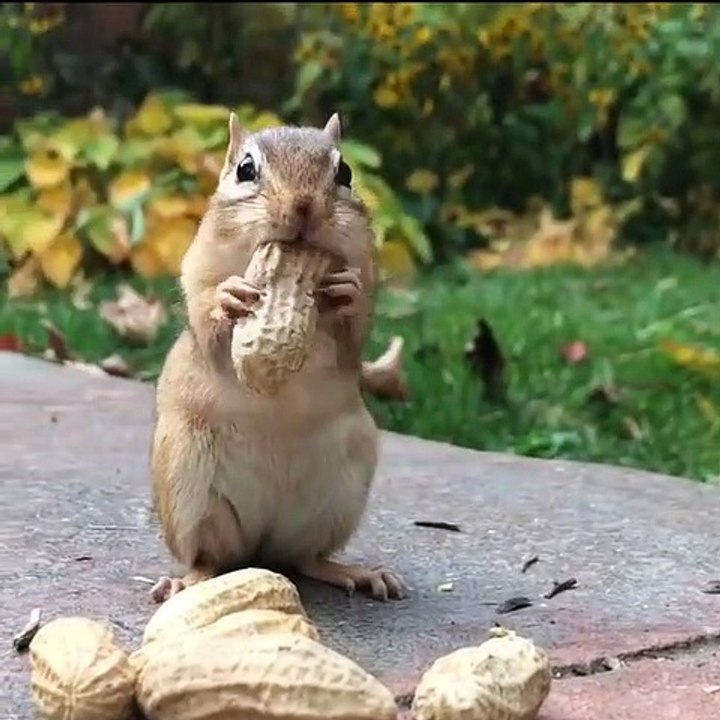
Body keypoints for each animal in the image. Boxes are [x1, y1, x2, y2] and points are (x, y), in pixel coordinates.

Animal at [149, 112, 407, 604]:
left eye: (345, 173)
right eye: (245, 169)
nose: (303, 207)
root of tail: (260, 548)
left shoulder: (366, 269)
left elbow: (355, 332)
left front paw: (346, 294)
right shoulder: (198, 265)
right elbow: (203, 309)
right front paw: (228, 297)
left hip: (342, 489)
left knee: (307, 558)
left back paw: (354, 572)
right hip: (189, 485)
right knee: (208, 556)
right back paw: (188, 580)